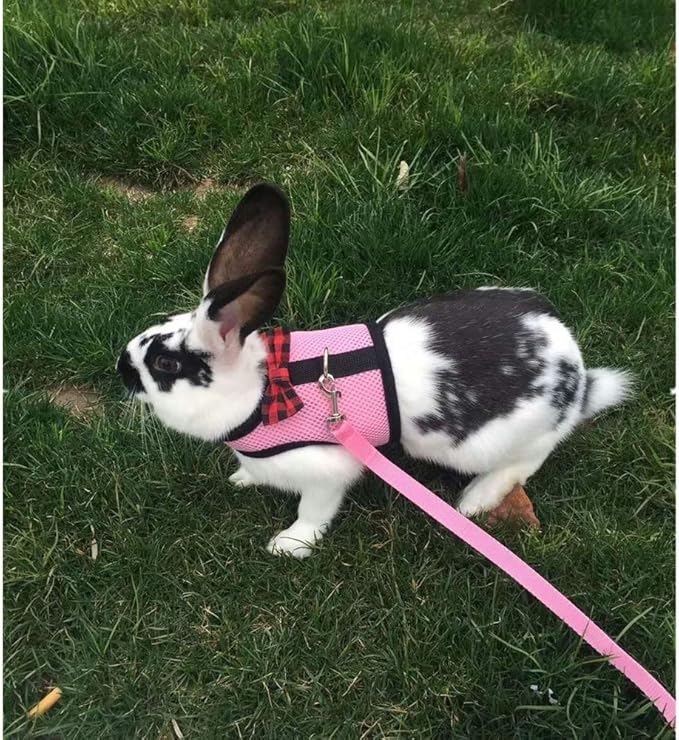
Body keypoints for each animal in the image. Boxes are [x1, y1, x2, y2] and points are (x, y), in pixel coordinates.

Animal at [117, 183, 632, 558]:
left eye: (164, 363)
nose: (121, 366)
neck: (264, 389)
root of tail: (576, 369)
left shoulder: (327, 470)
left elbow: (314, 510)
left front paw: (289, 545)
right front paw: (243, 479)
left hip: (492, 442)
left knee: (530, 459)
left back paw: (476, 499)